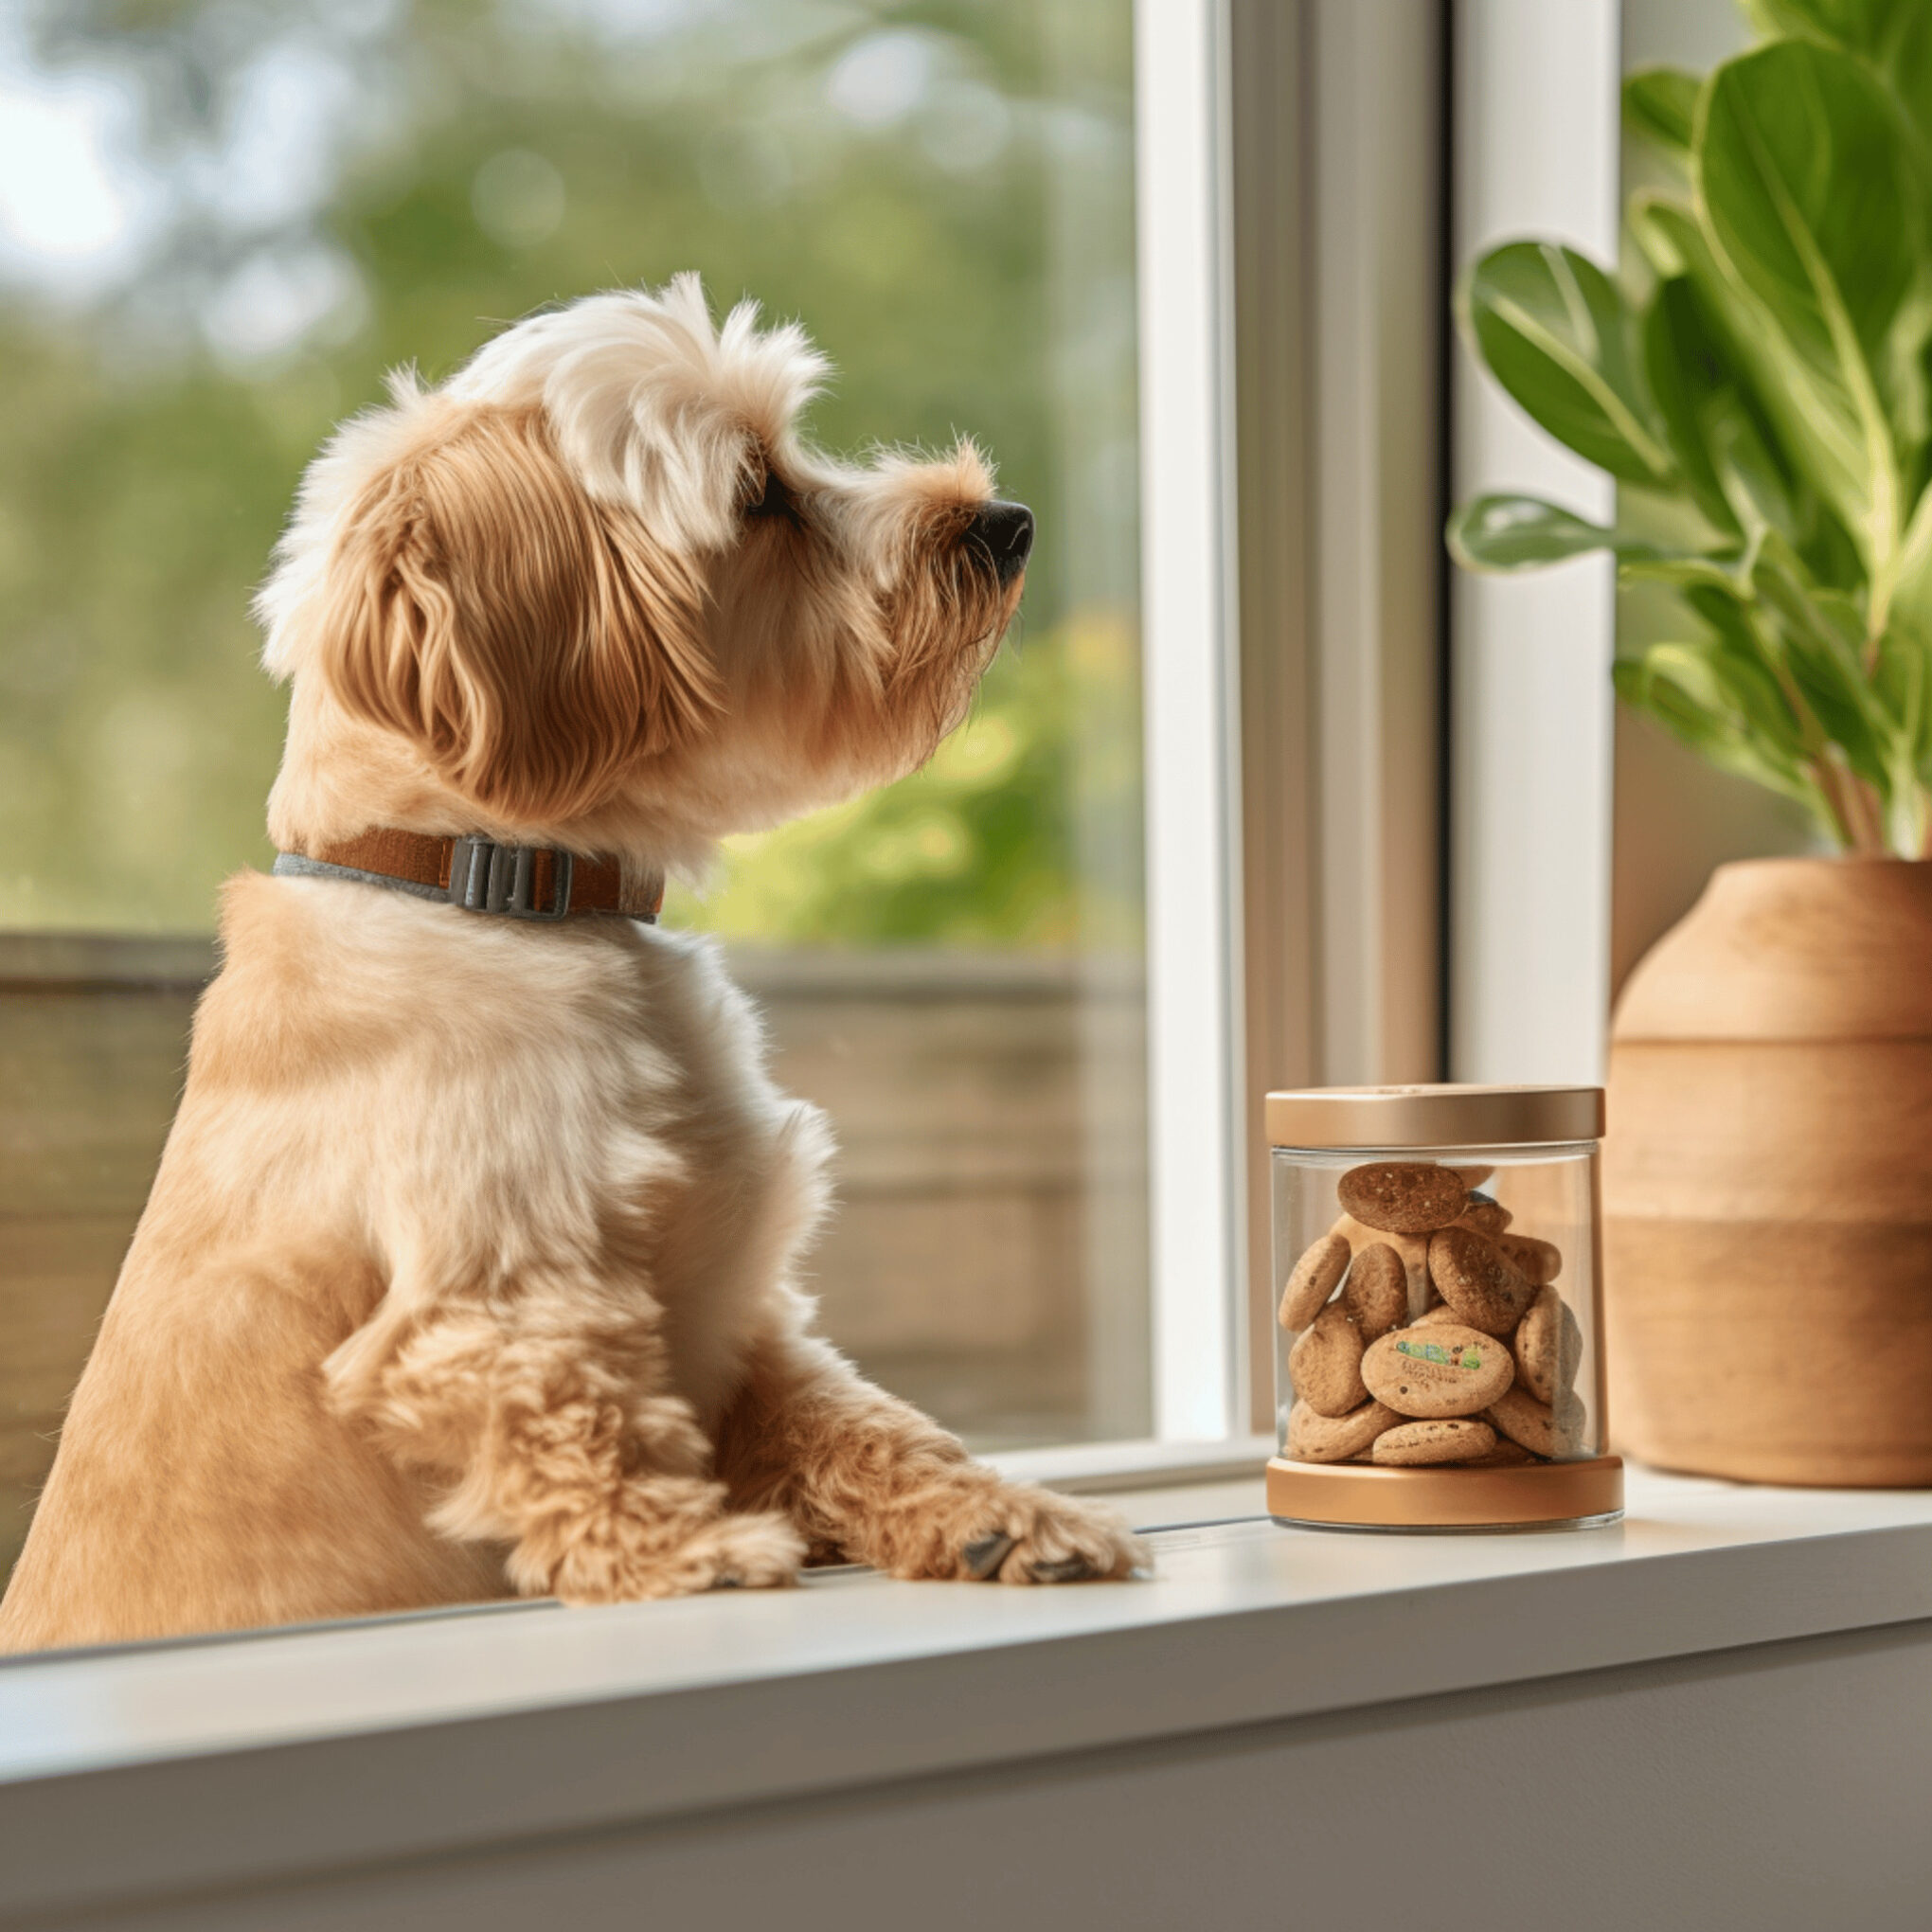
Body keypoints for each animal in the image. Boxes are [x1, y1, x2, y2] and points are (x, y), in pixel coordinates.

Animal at [0, 279, 1143, 1654]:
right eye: (758, 492)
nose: (1006, 520)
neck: (490, 890)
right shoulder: (490, 1298)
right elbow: (580, 1422)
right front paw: (689, 1554)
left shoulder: (737, 1310)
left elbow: (860, 1418)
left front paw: (1000, 1515)